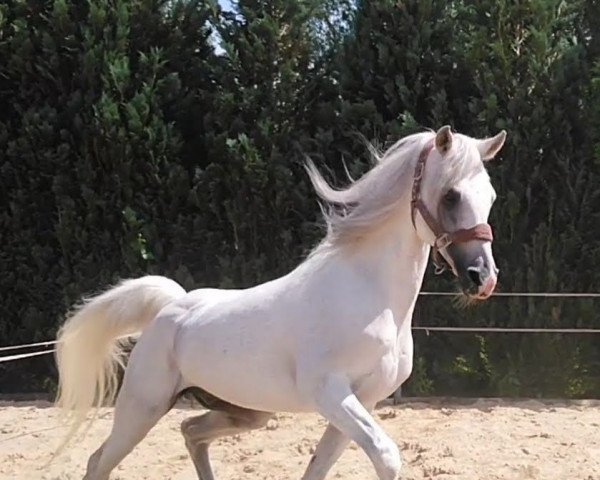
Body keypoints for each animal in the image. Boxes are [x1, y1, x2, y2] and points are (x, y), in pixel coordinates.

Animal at [55, 125, 506, 478]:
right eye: (450, 196)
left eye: (491, 196)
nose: (482, 278)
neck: (372, 297)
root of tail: (170, 309)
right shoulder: (330, 393)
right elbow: (386, 457)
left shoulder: (361, 401)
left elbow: (319, 468)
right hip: (142, 408)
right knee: (99, 462)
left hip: (247, 412)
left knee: (191, 433)